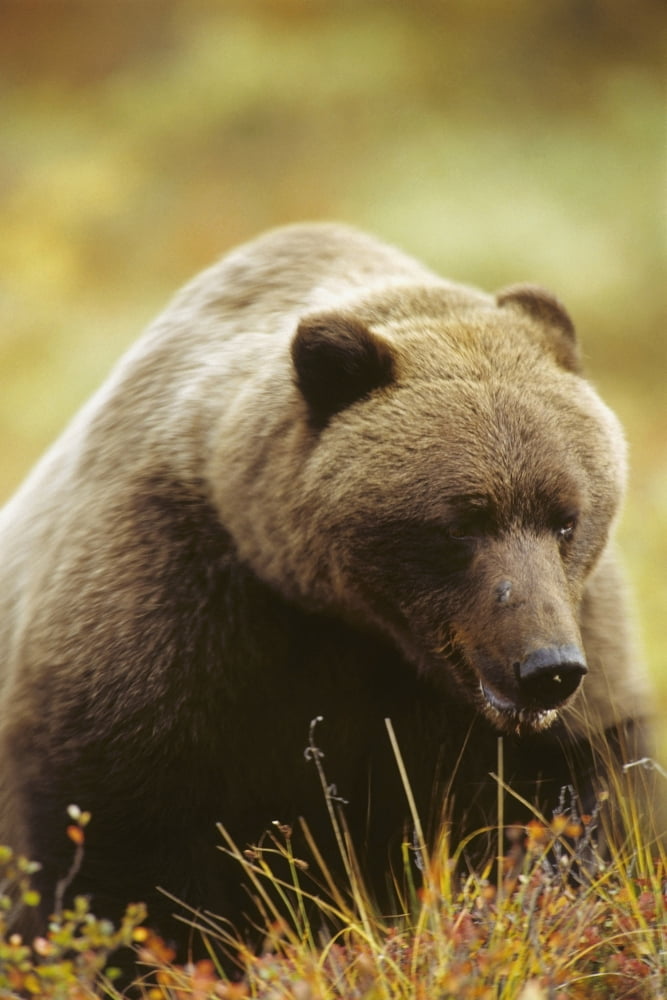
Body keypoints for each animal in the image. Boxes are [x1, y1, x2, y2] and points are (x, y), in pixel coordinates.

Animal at [0, 222, 660, 962]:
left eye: (565, 517)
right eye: (462, 522)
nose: (545, 667)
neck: (349, 619)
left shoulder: (570, 661)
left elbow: (578, 804)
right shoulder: (164, 613)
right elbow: (116, 858)